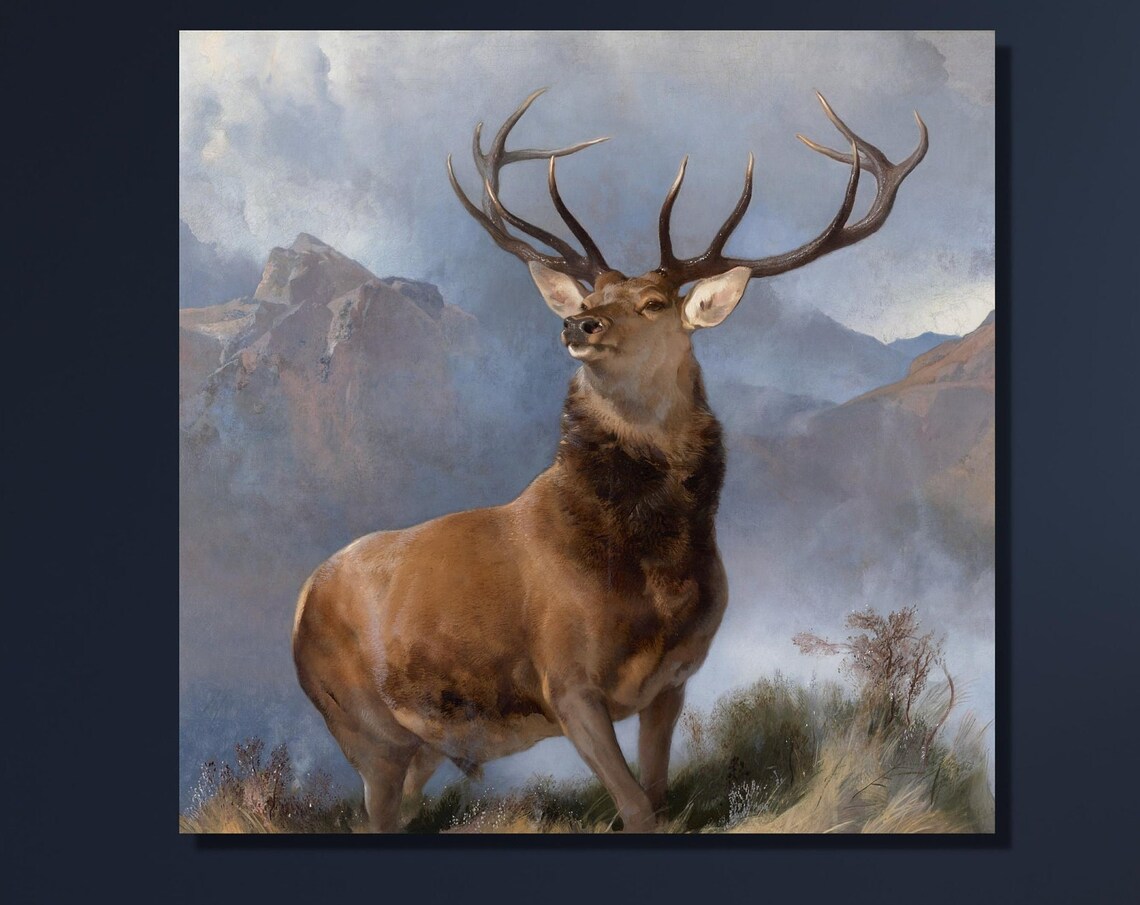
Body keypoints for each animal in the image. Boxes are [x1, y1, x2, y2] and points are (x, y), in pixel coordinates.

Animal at [292, 88, 927, 832]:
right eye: (591, 298)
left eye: (653, 303)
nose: (577, 324)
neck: (652, 580)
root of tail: (302, 600)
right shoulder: (566, 681)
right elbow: (635, 807)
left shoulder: (673, 680)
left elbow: (656, 795)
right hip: (365, 729)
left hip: (422, 743)